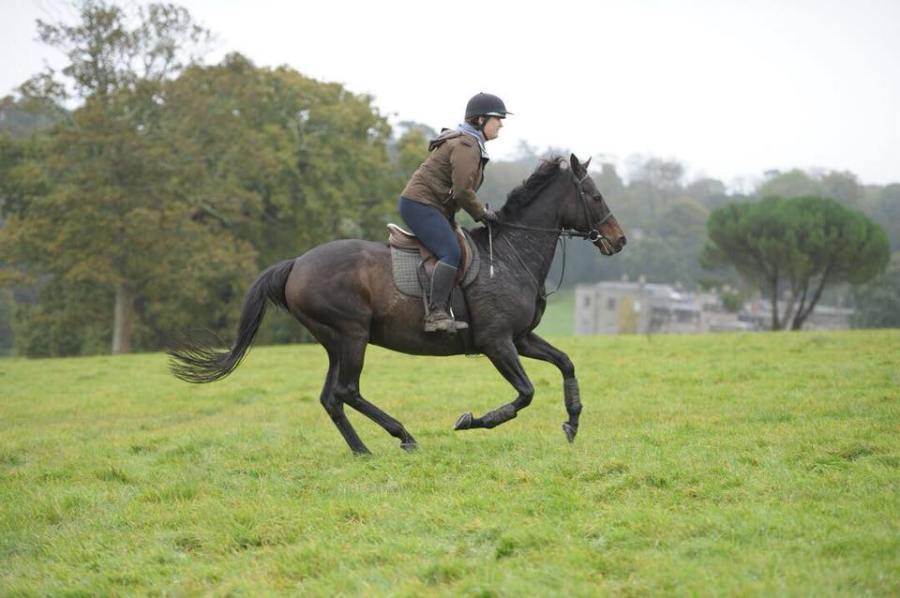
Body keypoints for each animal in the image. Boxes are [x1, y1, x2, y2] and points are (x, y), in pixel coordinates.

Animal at [172, 154, 628, 454]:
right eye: (593, 194)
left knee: (331, 397)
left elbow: (566, 363)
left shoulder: (521, 338)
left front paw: (572, 421)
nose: (619, 239)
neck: (509, 254)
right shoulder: (497, 341)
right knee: (347, 390)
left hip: (335, 342)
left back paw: (362, 450)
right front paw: (473, 421)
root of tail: (296, 263)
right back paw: (404, 436)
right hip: (351, 335)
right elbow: (526, 393)